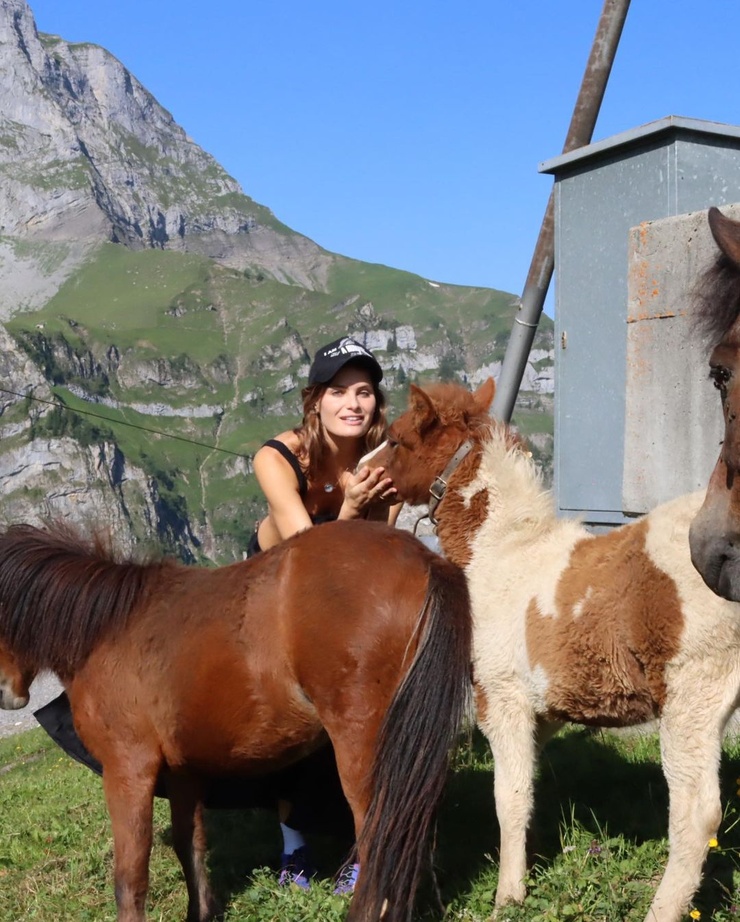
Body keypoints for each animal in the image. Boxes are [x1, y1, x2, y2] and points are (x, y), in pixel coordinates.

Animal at [0, 516, 472, 920]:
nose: (5, 693)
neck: (108, 629)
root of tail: (424, 559)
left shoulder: (127, 769)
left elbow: (130, 874)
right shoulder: (183, 772)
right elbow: (189, 846)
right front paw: (201, 913)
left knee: (379, 833)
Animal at [376, 376, 740, 920]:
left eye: (397, 439)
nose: (363, 474)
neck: (501, 552)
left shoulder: (502, 696)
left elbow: (510, 798)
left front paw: (508, 897)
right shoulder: (544, 707)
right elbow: (527, 789)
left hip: (693, 697)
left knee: (696, 815)